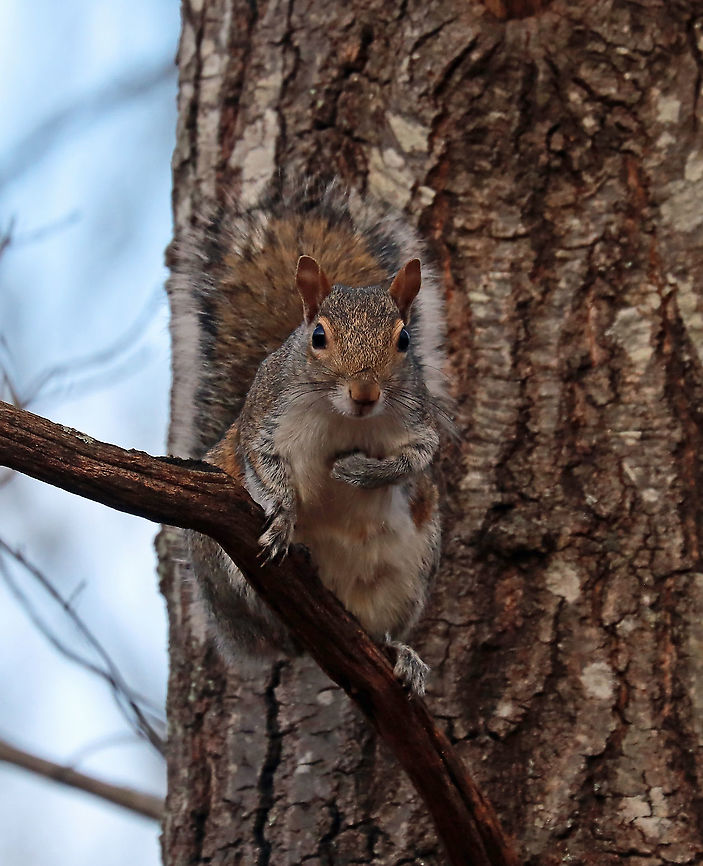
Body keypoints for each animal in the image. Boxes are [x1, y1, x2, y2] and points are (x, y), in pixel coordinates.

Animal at [174, 181, 450, 695]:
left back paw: (401, 655)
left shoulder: (418, 422)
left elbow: (417, 459)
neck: (346, 418)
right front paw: (284, 515)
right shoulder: (264, 419)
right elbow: (264, 464)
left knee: (380, 629)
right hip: (220, 562)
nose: (365, 393)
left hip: (409, 572)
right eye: (319, 337)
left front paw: (358, 471)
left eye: (404, 341)